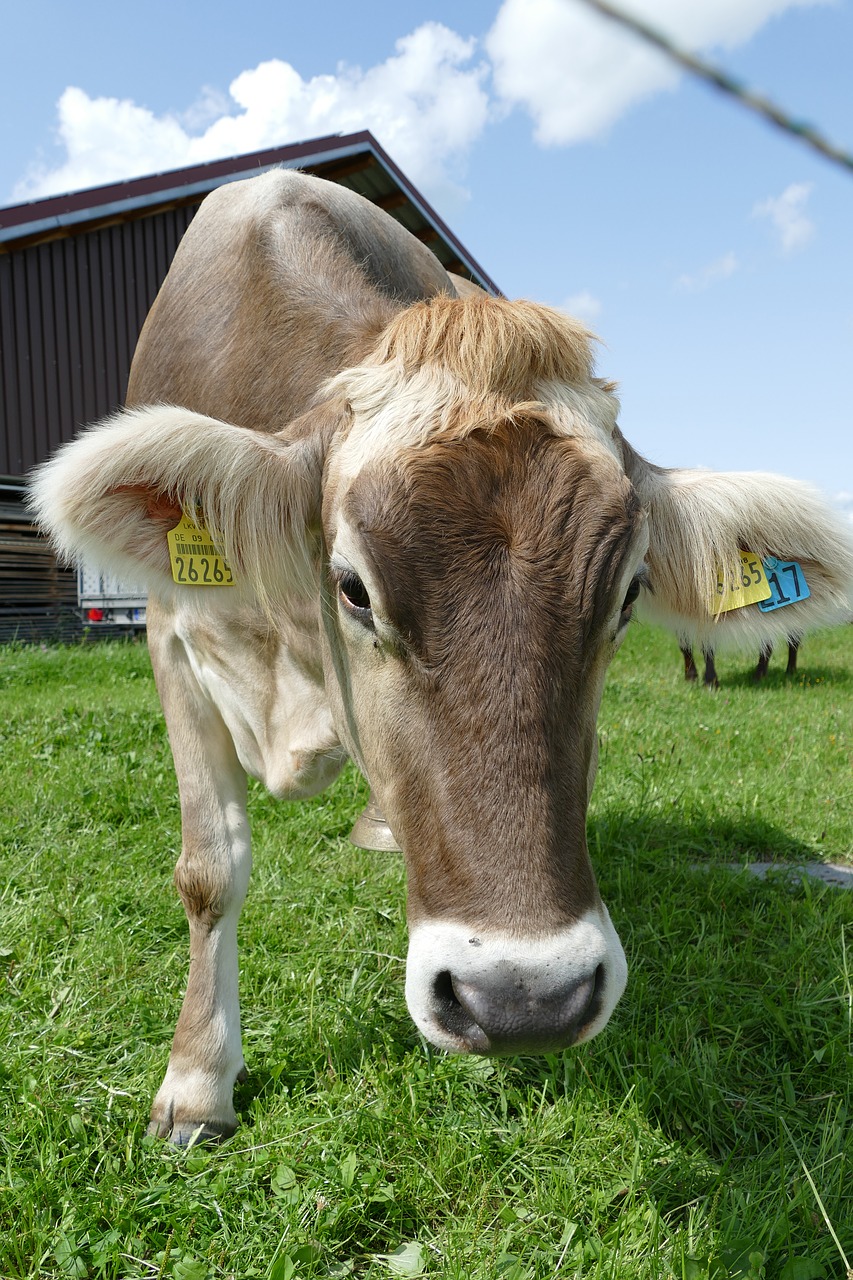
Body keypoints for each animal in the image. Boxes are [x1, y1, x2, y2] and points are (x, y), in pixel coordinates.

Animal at [26, 167, 850, 1141]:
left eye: (629, 593)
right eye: (352, 586)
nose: (527, 998)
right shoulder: (170, 634)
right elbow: (208, 870)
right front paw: (197, 1084)